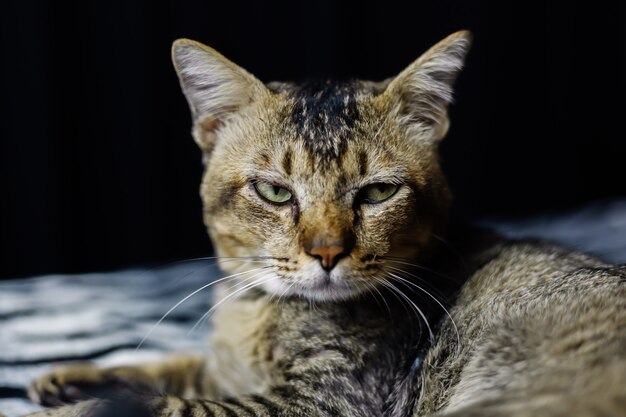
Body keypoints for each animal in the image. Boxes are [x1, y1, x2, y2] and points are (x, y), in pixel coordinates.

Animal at [23, 30, 624, 416]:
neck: (257, 310)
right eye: (274, 191)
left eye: (378, 192)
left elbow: (177, 406)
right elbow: (172, 367)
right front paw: (73, 376)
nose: (327, 252)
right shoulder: (223, 369)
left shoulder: (324, 401)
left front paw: (74, 408)